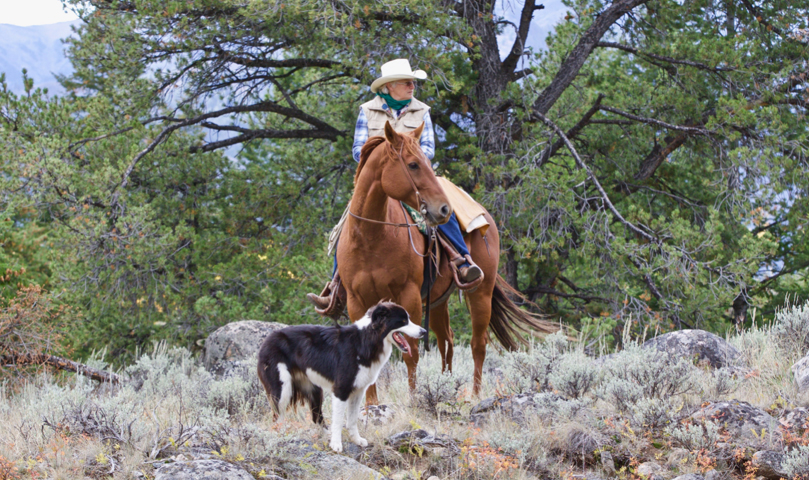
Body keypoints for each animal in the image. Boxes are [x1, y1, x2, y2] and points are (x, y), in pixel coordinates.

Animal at [258, 302, 426, 452]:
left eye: (409, 319)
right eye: (403, 321)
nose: (424, 331)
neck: (366, 340)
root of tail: (267, 339)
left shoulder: (358, 391)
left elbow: (352, 420)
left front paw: (356, 440)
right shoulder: (341, 390)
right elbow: (339, 420)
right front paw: (336, 445)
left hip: (314, 389)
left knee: (316, 417)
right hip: (283, 390)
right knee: (277, 419)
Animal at [338, 122, 560, 404]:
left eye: (427, 162)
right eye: (412, 164)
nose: (444, 210)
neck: (371, 239)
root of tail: (486, 217)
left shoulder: (409, 296)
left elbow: (412, 352)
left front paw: (414, 401)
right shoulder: (357, 301)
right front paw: (370, 406)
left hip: (480, 292)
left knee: (478, 344)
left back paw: (474, 396)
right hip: (437, 301)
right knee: (447, 341)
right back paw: (447, 388)